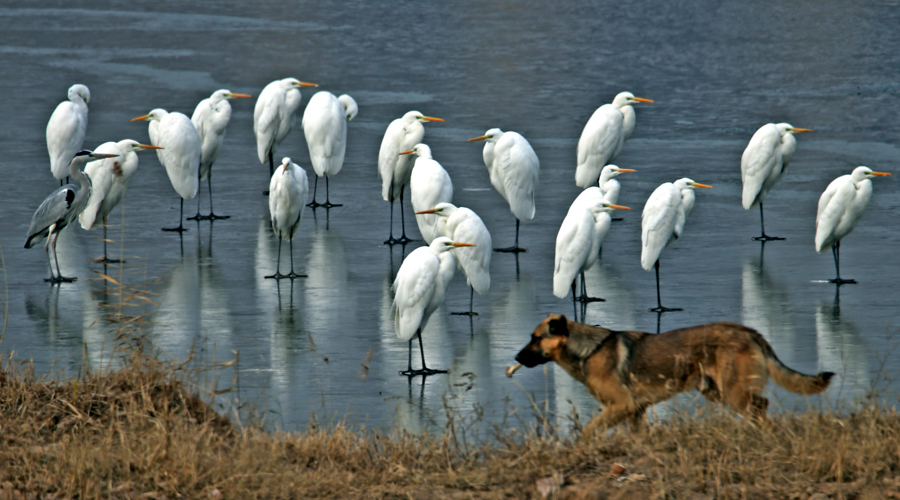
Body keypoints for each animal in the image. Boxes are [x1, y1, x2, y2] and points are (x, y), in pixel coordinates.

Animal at [516, 314, 832, 436]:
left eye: (535, 338)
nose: (516, 359)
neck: (587, 349)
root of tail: (750, 331)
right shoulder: (635, 411)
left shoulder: (621, 406)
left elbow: (587, 431)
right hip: (716, 391)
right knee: (760, 407)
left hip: (732, 392)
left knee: (760, 407)